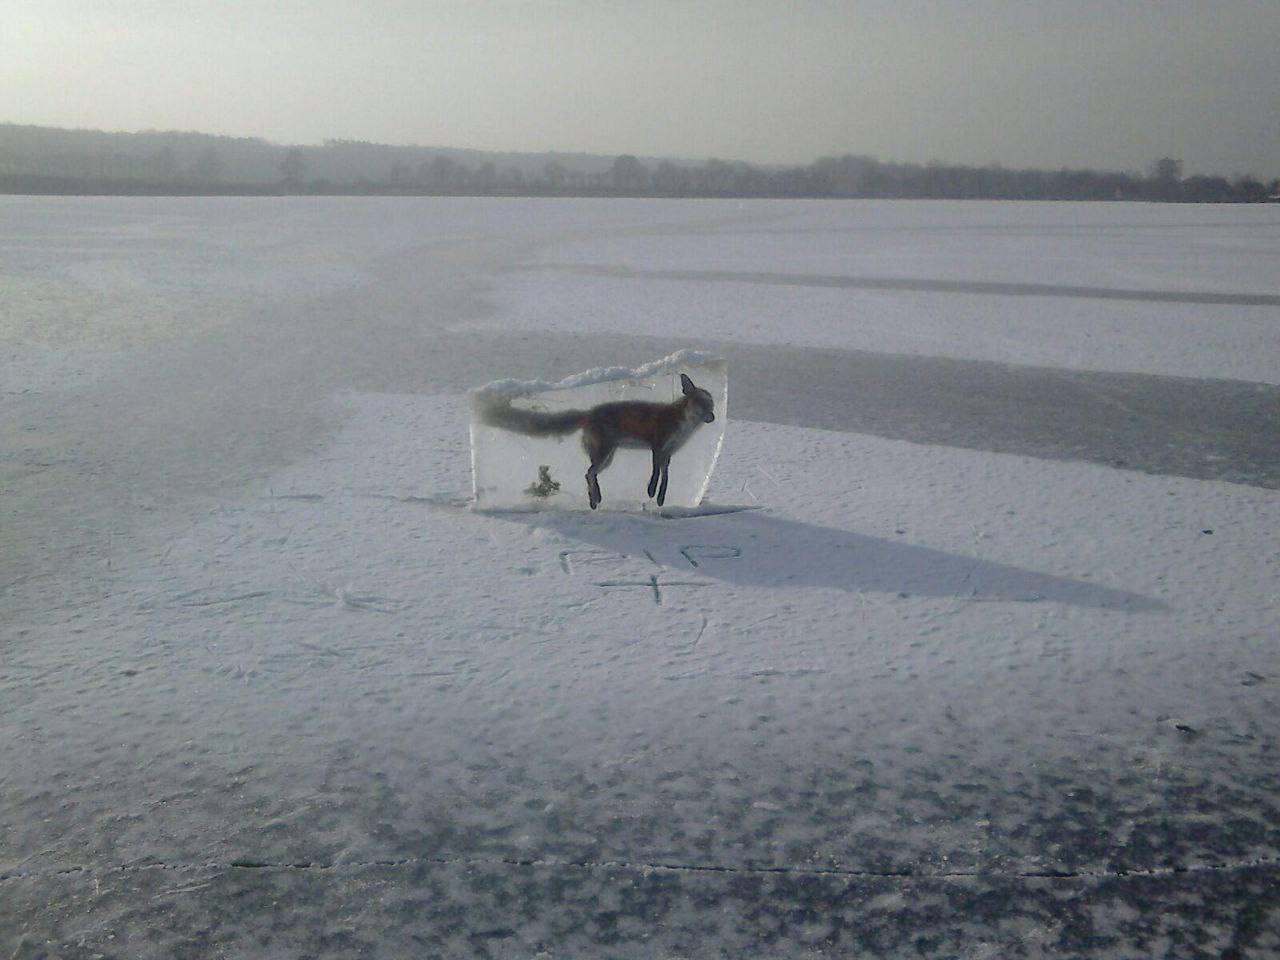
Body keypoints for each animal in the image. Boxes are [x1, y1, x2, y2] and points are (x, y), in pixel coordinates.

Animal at [481, 373, 721, 512]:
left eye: (712, 404)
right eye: (701, 404)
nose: (712, 417)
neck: (683, 426)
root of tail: (587, 413)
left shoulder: (668, 454)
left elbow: (666, 479)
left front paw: (661, 498)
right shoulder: (657, 446)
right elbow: (655, 475)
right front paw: (651, 491)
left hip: (608, 457)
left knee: (589, 474)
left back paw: (594, 499)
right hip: (605, 454)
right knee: (588, 473)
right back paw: (594, 498)